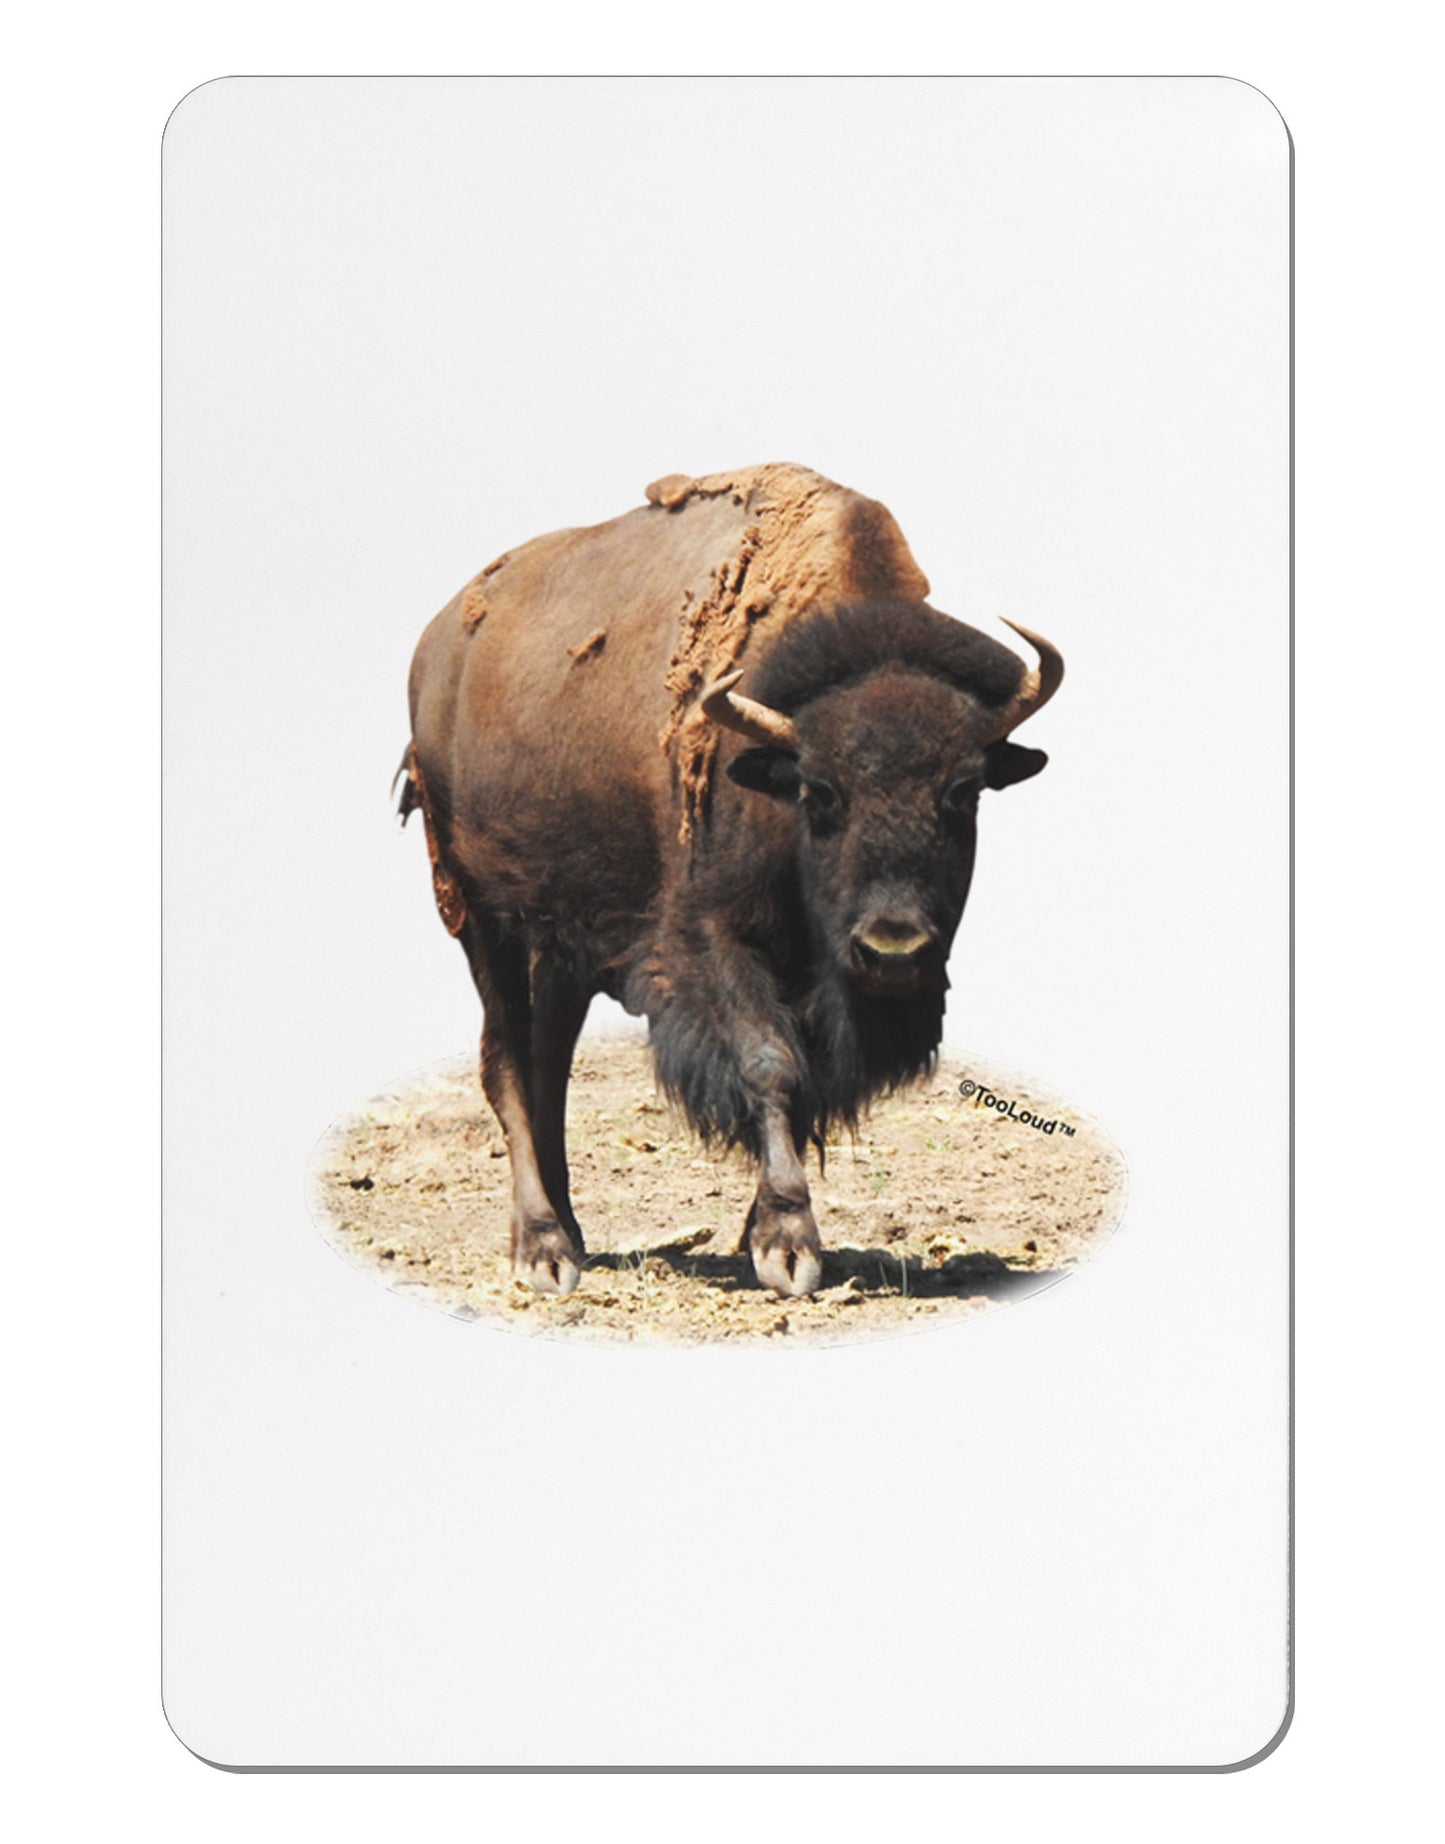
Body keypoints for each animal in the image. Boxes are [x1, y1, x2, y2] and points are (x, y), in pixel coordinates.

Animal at [400, 464, 1062, 1298]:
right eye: (818, 791)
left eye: (963, 790)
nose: (893, 950)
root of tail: (437, 648)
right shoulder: (713, 939)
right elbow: (768, 1064)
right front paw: (787, 1245)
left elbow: (806, 1083)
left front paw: (763, 1232)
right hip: (479, 913)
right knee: (507, 1061)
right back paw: (543, 1250)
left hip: (565, 943)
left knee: (549, 1061)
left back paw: (573, 1234)